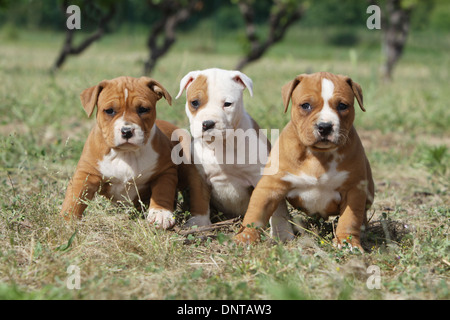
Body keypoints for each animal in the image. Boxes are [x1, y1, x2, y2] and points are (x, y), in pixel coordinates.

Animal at [59, 76, 178, 229]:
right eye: (109, 111)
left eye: (143, 109)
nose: (126, 131)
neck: (126, 153)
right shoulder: (86, 173)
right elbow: (75, 196)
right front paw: (67, 219)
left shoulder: (165, 171)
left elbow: (162, 191)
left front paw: (161, 213)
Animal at [234, 72, 374, 250]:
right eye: (306, 105)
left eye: (342, 106)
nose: (325, 126)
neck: (319, 155)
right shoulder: (269, 187)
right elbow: (255, 213)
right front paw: (245, 237)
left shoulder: (353, 189)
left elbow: (350, 218)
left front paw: (347, 242)